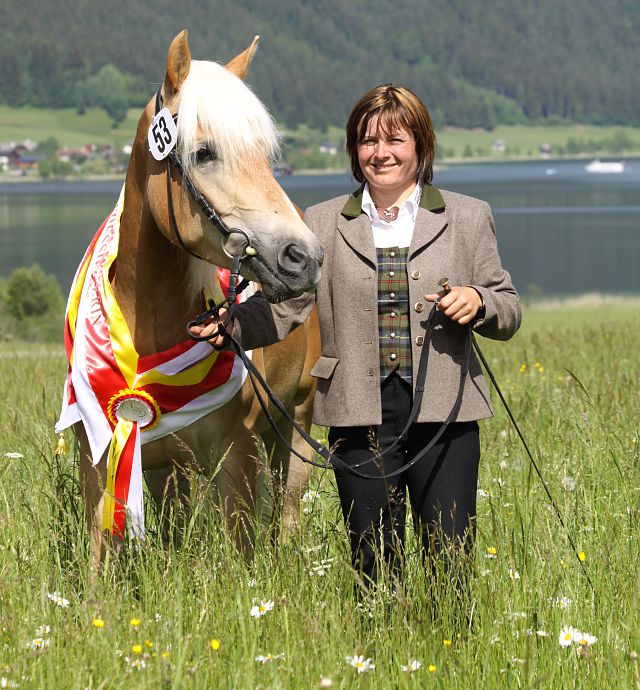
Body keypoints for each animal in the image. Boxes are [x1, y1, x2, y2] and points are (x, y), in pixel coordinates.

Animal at [55, 29, 322, 576]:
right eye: (203, 153)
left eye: (264, 153)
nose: (302, 257)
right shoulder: (100, 460)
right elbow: (98, 564)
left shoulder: (237, 459)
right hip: (169, 469)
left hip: (296, 422)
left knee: (288, 512)